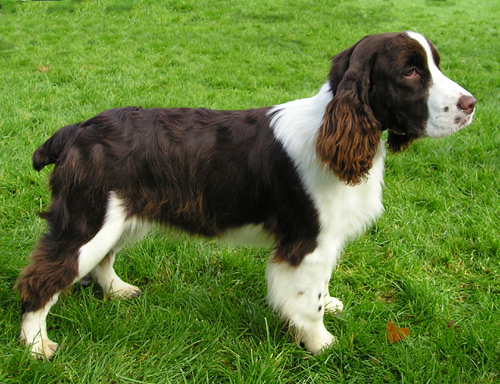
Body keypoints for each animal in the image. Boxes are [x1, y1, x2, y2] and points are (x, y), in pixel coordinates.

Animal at [16, 31, 476, 358]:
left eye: (435, 64)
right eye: (411, 72)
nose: (471, 104)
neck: (333, 129)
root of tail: (77, 130)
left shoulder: (324, 241)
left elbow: (322, 287)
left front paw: (331, 306)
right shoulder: (307, 242)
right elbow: (308, 301)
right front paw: (322, 343)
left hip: (119, 215)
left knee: (101, 261)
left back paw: (118, 290)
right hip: (89, 219)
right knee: (42, 277)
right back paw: (37, 346)